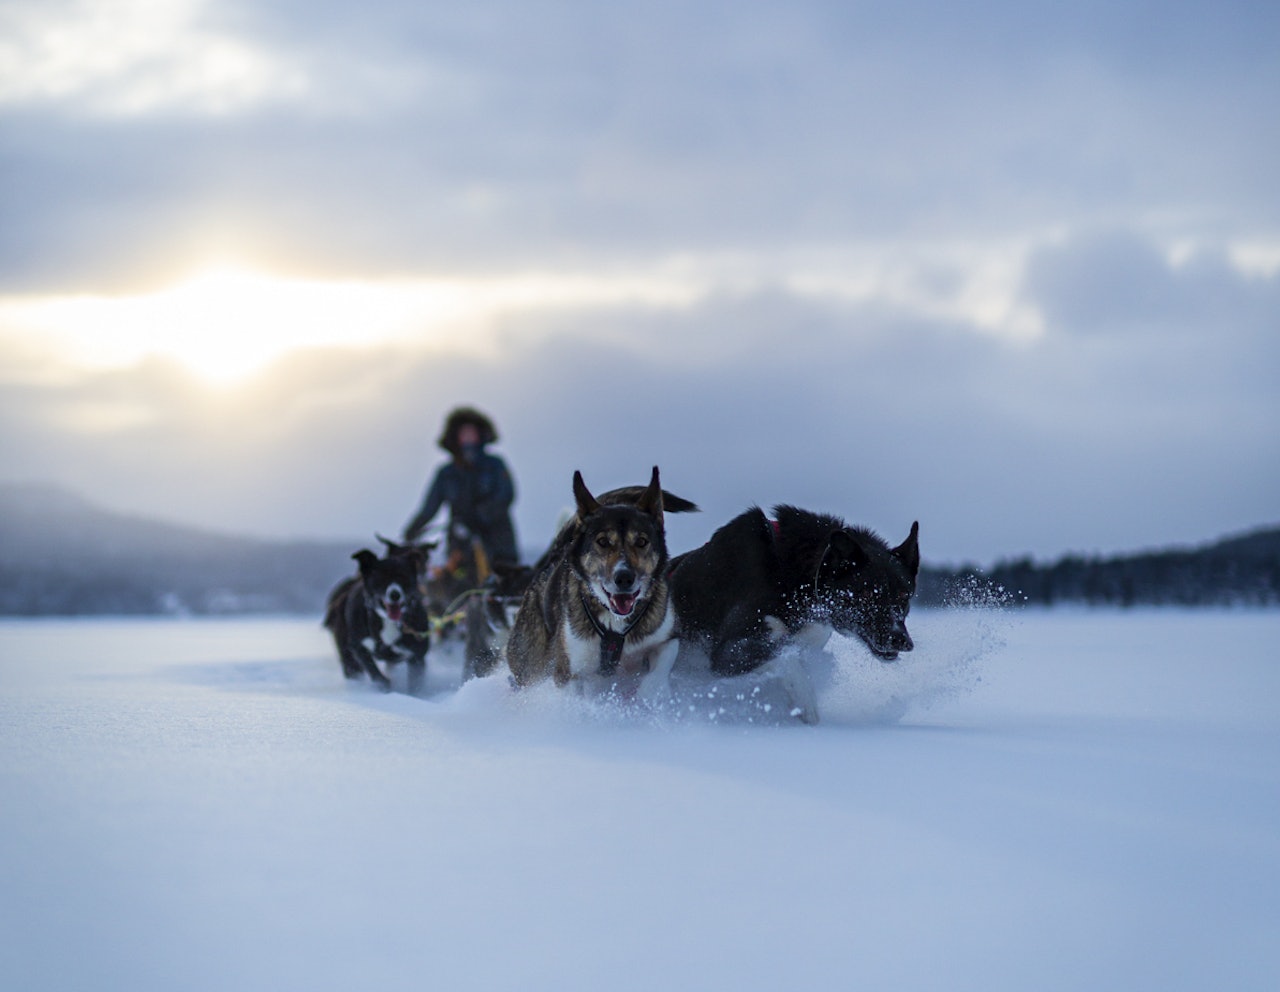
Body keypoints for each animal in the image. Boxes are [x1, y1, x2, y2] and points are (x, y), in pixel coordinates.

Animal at [325, 540, 435, 696]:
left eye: (404, 577)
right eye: (381, 578)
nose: (395, 595)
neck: (388, 622)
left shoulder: (417, 655)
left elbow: (415, 683)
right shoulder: (359, 647)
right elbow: (375, 672)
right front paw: (384, 686)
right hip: (347, 654)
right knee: (352, 668)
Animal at [504, 468, 696, 706]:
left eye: (642, 541)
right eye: (603, 541)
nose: (624, 578)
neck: (615, 627)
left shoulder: (665, 636)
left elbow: (658, 671)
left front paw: (649, 696)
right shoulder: (567, 671)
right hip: (529, 659)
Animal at [670, 509, 921, 727]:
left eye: (904, 595)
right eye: (867, 593)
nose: (901, 641)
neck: (789, 578)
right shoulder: (731, 652)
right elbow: (787, 661)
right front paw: (806, 703)